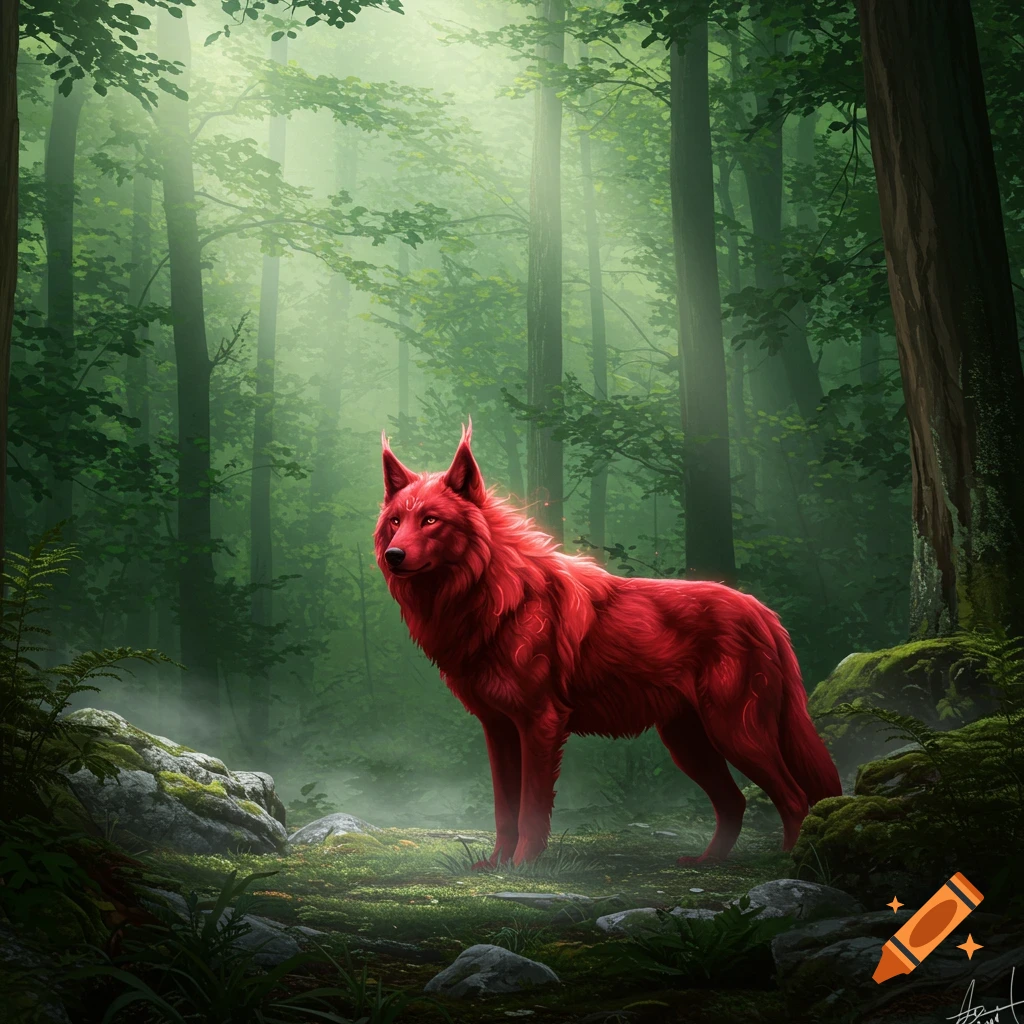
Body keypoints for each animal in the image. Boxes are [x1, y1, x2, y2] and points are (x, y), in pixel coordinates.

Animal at [374, 423, 842, 868]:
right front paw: (495, 866)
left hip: (737, 734)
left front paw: (523, 866)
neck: (496, 599)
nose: (394, 555)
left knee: (792, 798)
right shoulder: (498, 728)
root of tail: (762, 611)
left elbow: (531, 810)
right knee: (735, 802)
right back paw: (707, 862)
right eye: (396, 521)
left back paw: (786, 862)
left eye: (431, 520)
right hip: (689, 744)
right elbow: (503, 810)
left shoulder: (540, 723)